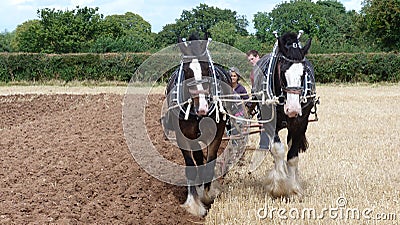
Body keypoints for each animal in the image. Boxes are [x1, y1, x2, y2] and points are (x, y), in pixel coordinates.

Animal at [162, 33, 231, 216]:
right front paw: (193, 203)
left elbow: (210, 162)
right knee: (198, 158)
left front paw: (207, 195)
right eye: (186, 71)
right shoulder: (183, 136)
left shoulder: (217, 133)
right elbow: (191, 166)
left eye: (206, 68)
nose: (202, 108)